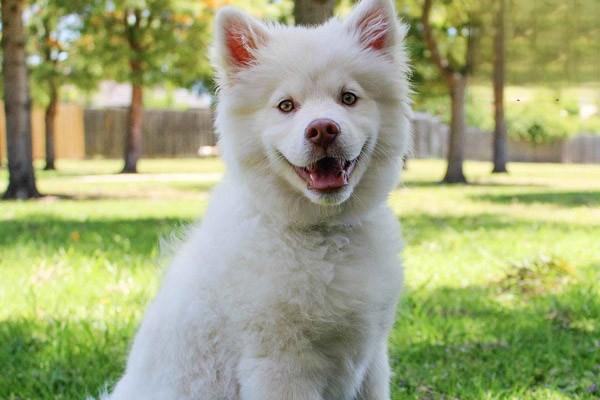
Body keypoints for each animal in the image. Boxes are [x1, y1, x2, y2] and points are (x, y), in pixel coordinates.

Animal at [108, 0, 410, 398]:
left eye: (348, 98)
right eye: (286, 106)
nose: (323, 129)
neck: (324, 233)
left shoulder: (371, 359)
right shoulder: (281, 363)